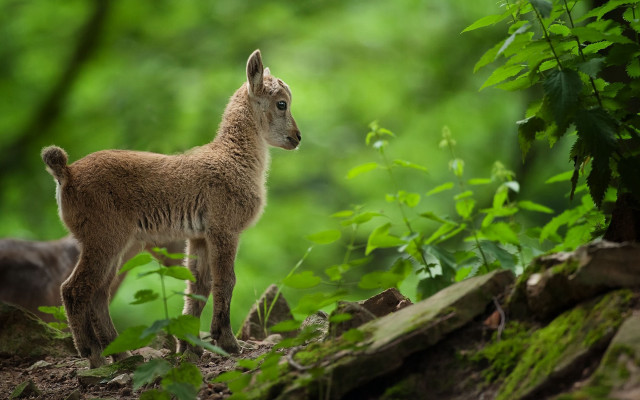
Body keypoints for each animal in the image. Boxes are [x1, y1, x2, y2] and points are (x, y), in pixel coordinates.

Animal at [41, 50, 300, 368]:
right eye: (281, 103)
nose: (296, 137)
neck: (234, 158)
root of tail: (66, 174)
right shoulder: (224, 228)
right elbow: (225, 281)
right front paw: (228, 342)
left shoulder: (199, 235)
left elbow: (198, 287)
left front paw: (190, 347)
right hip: (104, 237)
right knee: (75, 289)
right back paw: (94, 356)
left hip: (121, 244)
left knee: (100, 292)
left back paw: (122, 354)